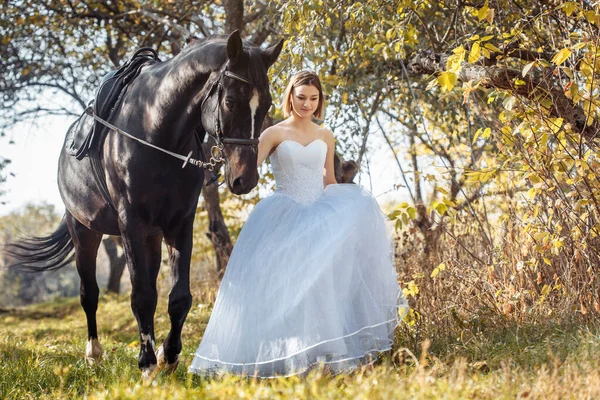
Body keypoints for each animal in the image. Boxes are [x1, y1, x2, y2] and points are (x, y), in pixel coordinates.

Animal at [6, 32, 284, 378]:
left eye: (268, 103)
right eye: (231, 100)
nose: (245, 179)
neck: (156, 131)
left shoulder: (180, 224)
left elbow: (178, 297)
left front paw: (169, 355)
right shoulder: (131, 224)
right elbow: (140, 296)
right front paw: (147, 362)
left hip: (151, 237)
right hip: (84, 231)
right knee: (89, 294)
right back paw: (94, 353)